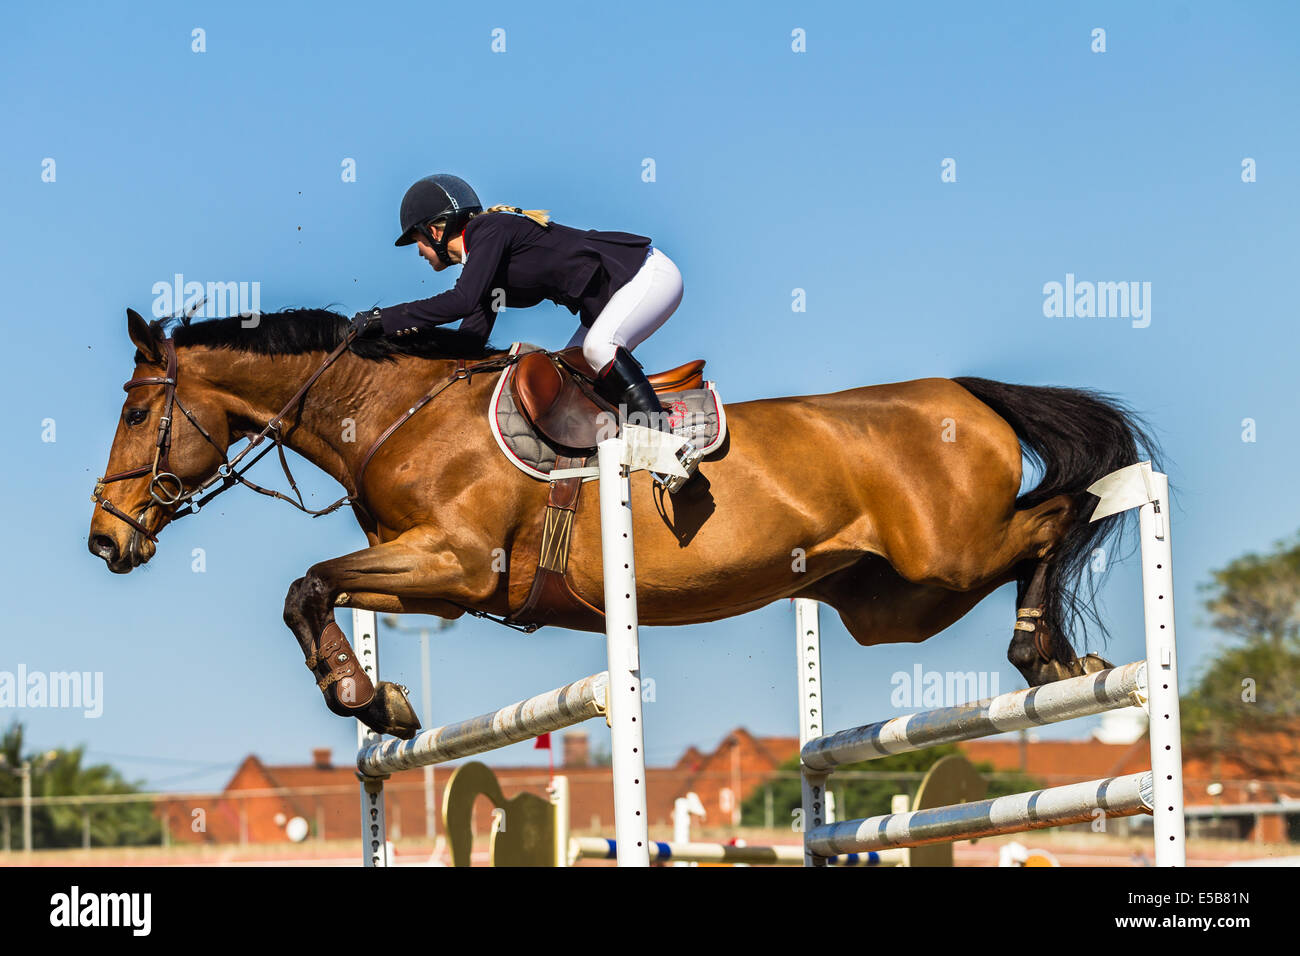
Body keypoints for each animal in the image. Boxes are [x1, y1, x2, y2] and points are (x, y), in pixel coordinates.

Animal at [88, 307, 1155, 739]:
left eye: (137, 412)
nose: (106, 540)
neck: (393, 409)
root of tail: (962, 391)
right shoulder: (433, 575)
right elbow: (310, 591)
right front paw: (378, 699)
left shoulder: (455, 563)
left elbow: (306, 583)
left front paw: (365, 699)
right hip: (889, 603)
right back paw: (1060, 658)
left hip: (945, 555)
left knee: (1064, 511)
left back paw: (1049, 655)